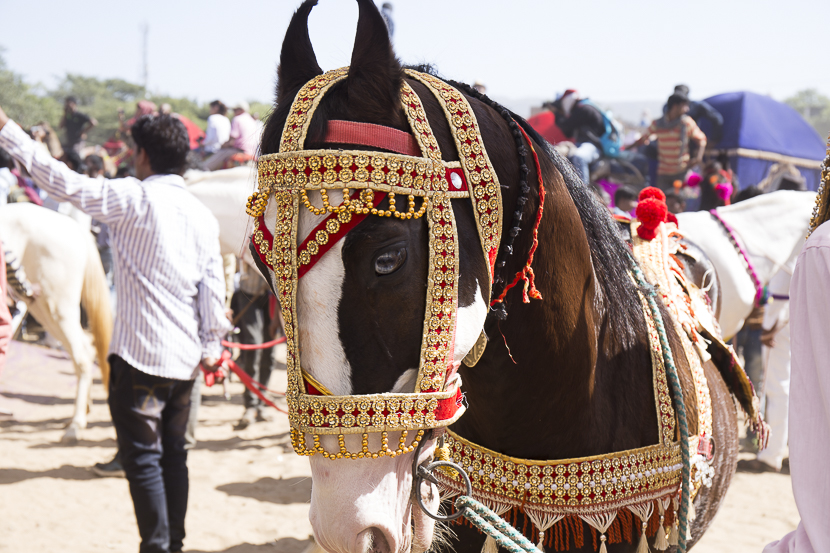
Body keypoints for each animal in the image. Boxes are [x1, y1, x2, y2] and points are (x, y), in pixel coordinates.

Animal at [0, 202, 112, 440]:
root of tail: (74, 226)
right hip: (42, 308)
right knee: (85, 349)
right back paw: (83, 410)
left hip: (56, 306)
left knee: (82, 357)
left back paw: (76, 425)